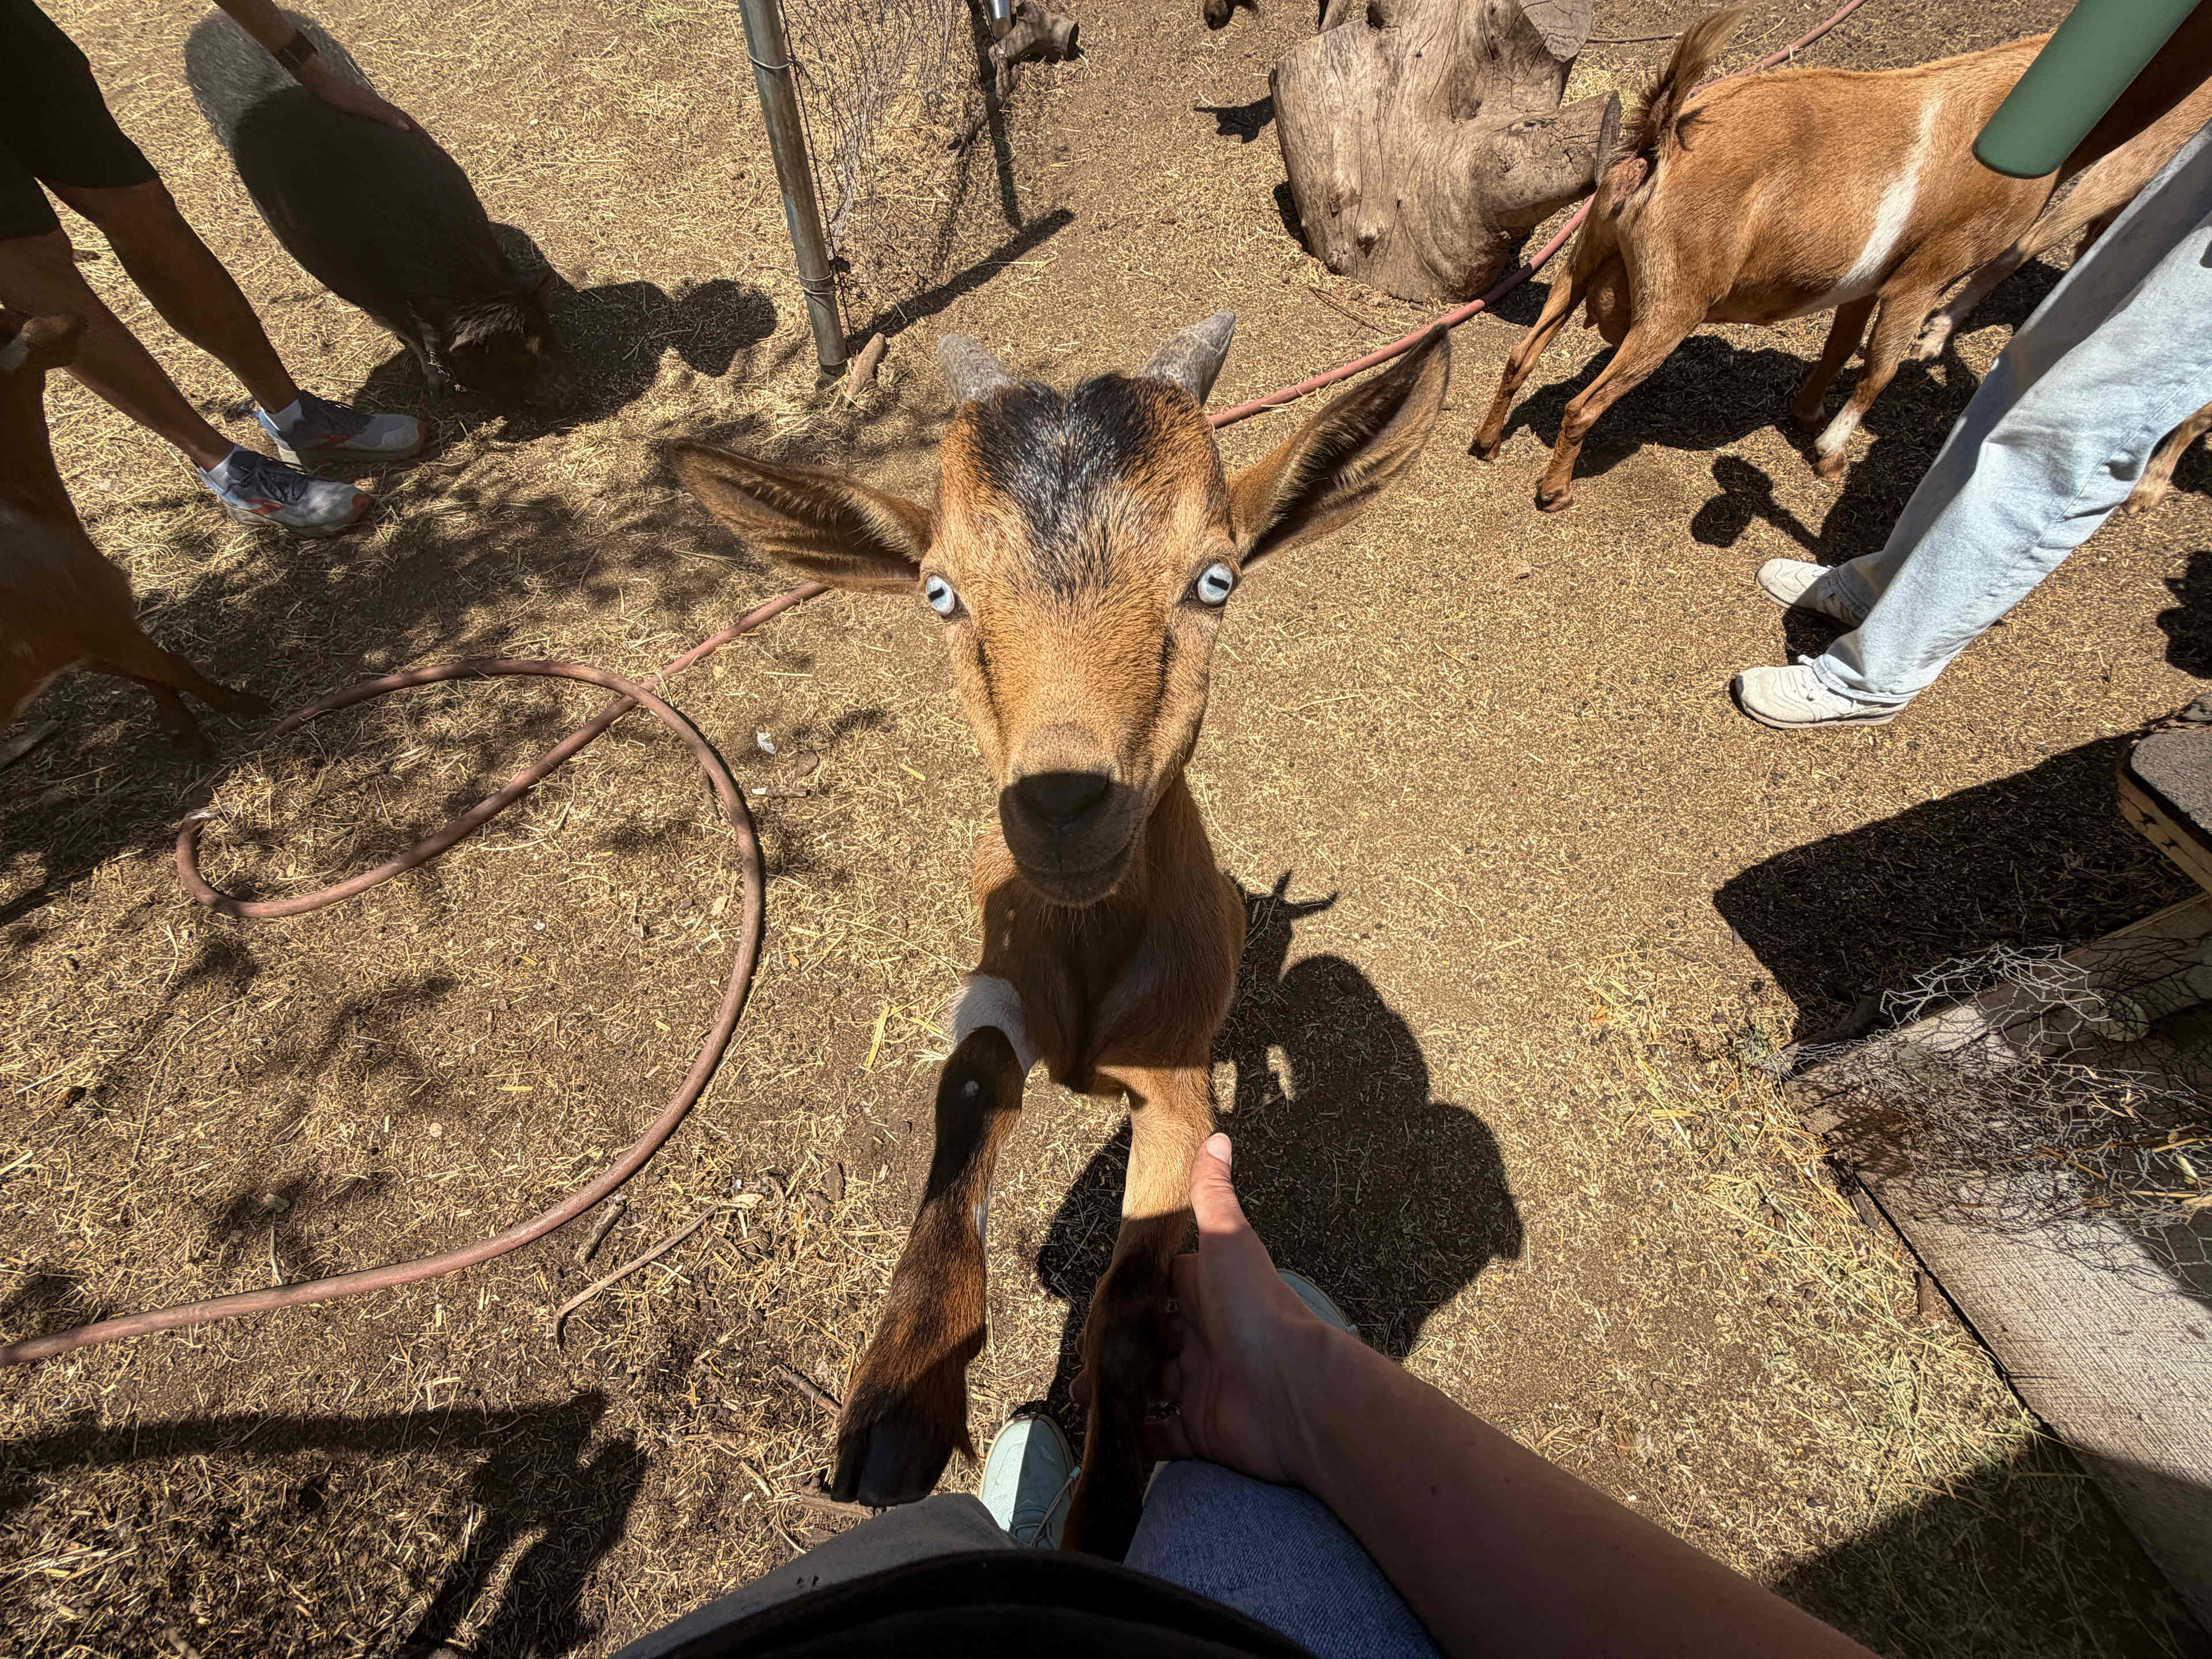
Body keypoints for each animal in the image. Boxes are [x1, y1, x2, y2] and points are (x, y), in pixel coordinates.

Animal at [1, 307, 270, 755]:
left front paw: (185, 731)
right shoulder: (96, 618)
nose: (77, 318)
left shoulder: (86, 637)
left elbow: (152, 674)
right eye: (9, 321)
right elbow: (171, 667)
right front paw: (245, 706)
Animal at [672, 315, 1450, 1556]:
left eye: (1216, 578)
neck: (1090, 977)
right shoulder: (997, 988)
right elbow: (971, 1092)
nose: (1063, 804)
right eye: (940, 592)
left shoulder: (1176, 1081)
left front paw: (1097, 1517)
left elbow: (1128, 1312)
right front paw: (900, 1400)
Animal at [1472, 11, 2062, 510]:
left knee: (1521, 356)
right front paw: (1830, 457)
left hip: (1582, 258)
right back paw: (1555, 493)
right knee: (1583, 405)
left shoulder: (1866, 283)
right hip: (1671, 306)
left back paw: (1487, 443)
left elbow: (1841, 346)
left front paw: (1807, 415)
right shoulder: (1923, 276)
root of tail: (1660, 143)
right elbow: (1881, 369)